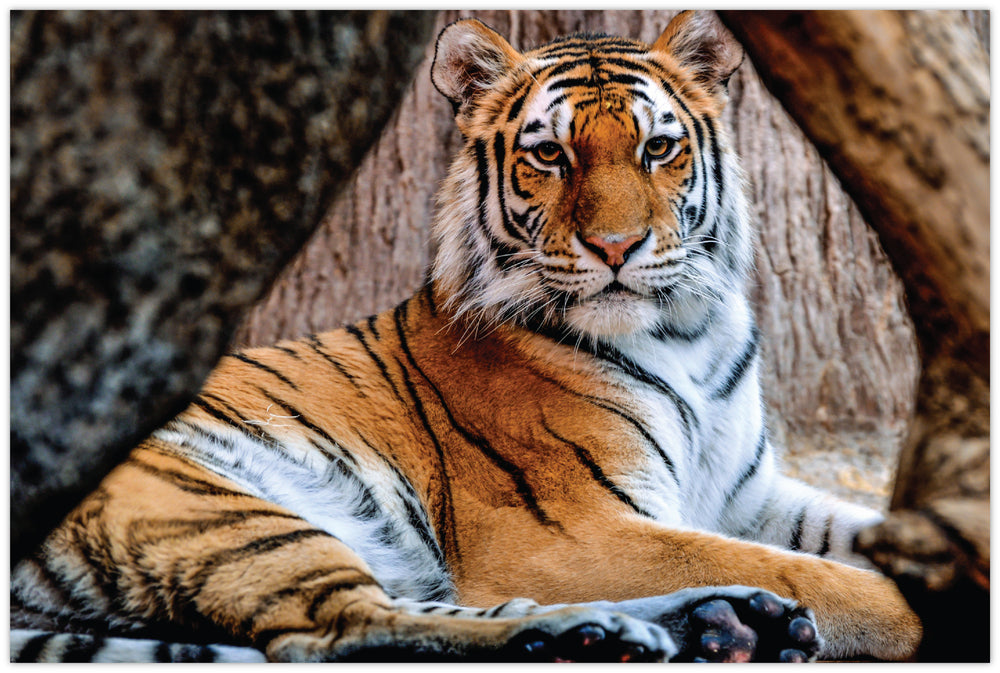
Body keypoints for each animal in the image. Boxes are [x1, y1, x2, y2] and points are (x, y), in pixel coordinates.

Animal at [10, 11, 922, 663]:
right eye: (550, 156)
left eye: (659, 148)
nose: (616, 247)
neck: (687, 332)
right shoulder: (568, 526)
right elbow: (808, 570)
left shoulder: (746, 494)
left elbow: (841, 540)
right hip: (219, 504)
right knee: (326, 632)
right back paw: (585, 636)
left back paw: (705, 626)